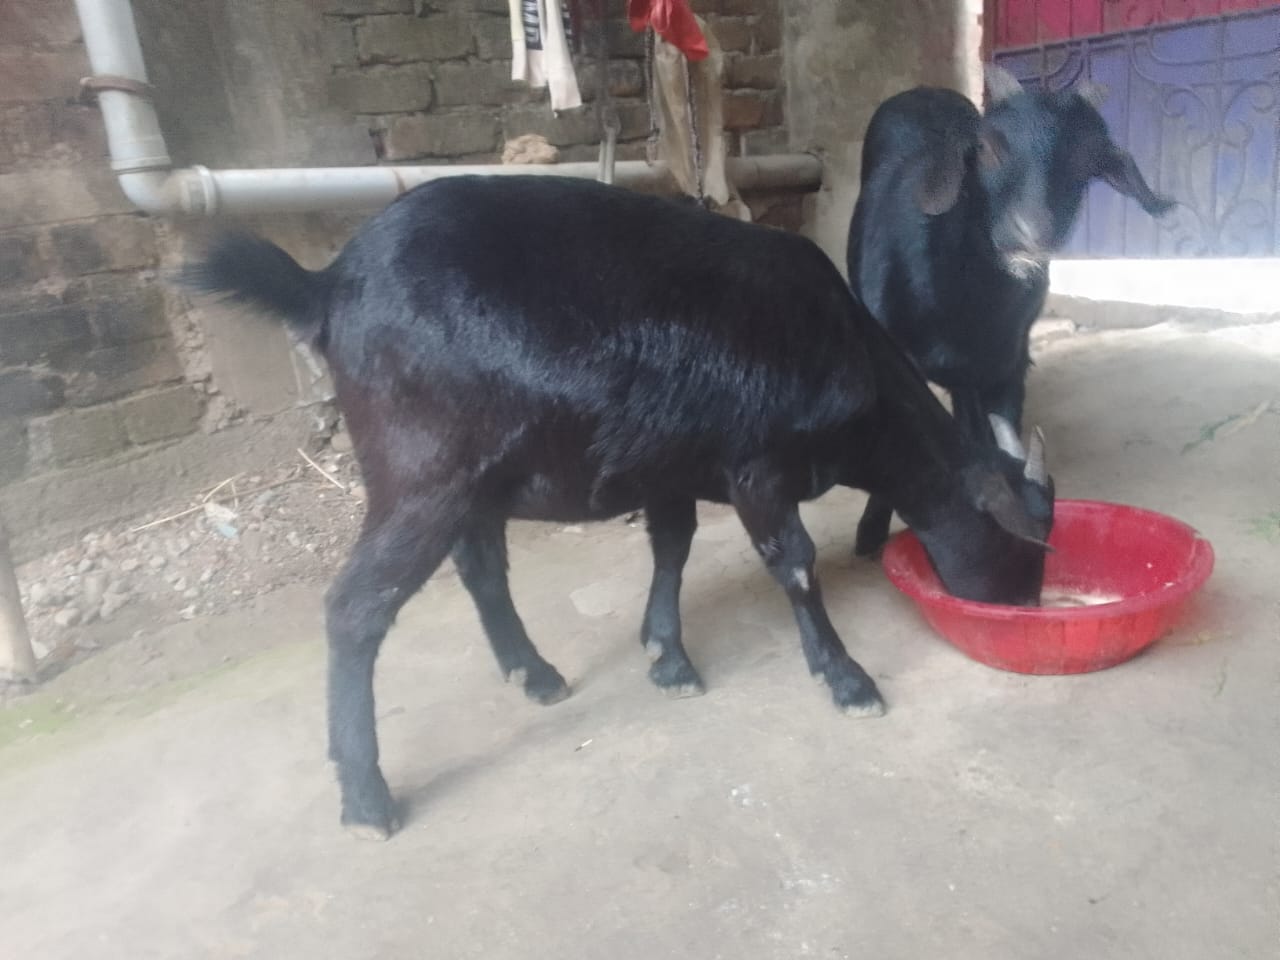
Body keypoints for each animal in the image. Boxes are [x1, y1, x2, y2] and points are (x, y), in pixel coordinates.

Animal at [186, 175, 1055, 839]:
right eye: (1022, 547)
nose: (1025, 609)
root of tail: (326, 282)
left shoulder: (670, 466)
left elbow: (672, 547)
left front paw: (666, 654)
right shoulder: (757, 467)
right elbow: (796, 567)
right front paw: (845, 677)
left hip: (473, 483)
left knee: (481, 567)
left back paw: (532, 672)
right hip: (420, 476)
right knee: (356, 610)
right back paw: (367, 796)